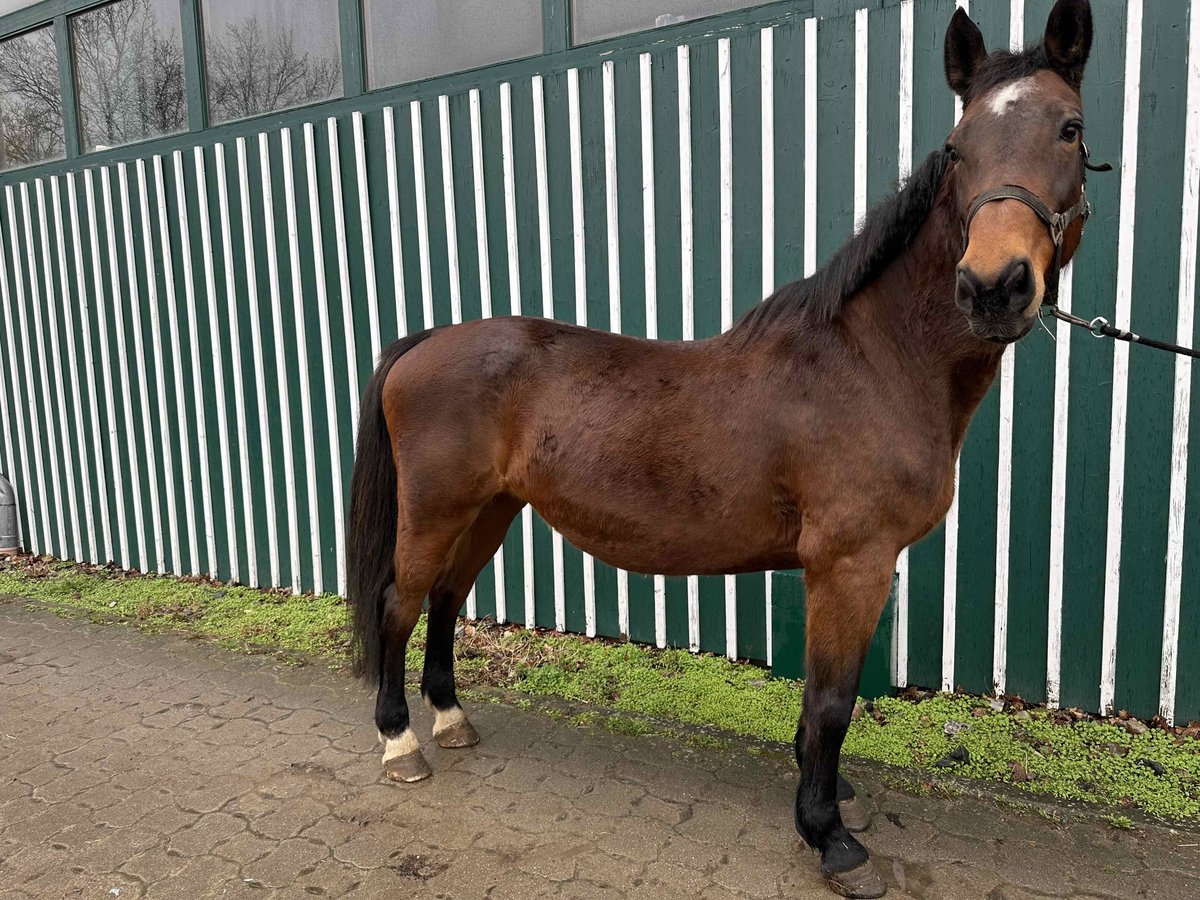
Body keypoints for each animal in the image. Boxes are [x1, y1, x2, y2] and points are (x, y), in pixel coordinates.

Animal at [345, 3, 1099, 897]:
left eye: (1070, 128)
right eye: (957, 148)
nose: (992, 287)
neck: (873, 359)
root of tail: (428, 340)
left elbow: (825, 703)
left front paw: (831, 797)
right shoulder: (851, 562)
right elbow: (831, 704)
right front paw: (830, 836)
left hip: (491, 509)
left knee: (445, 600)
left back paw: (452, 719)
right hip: (437, 508)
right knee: (399, 602)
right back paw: (400, 743)